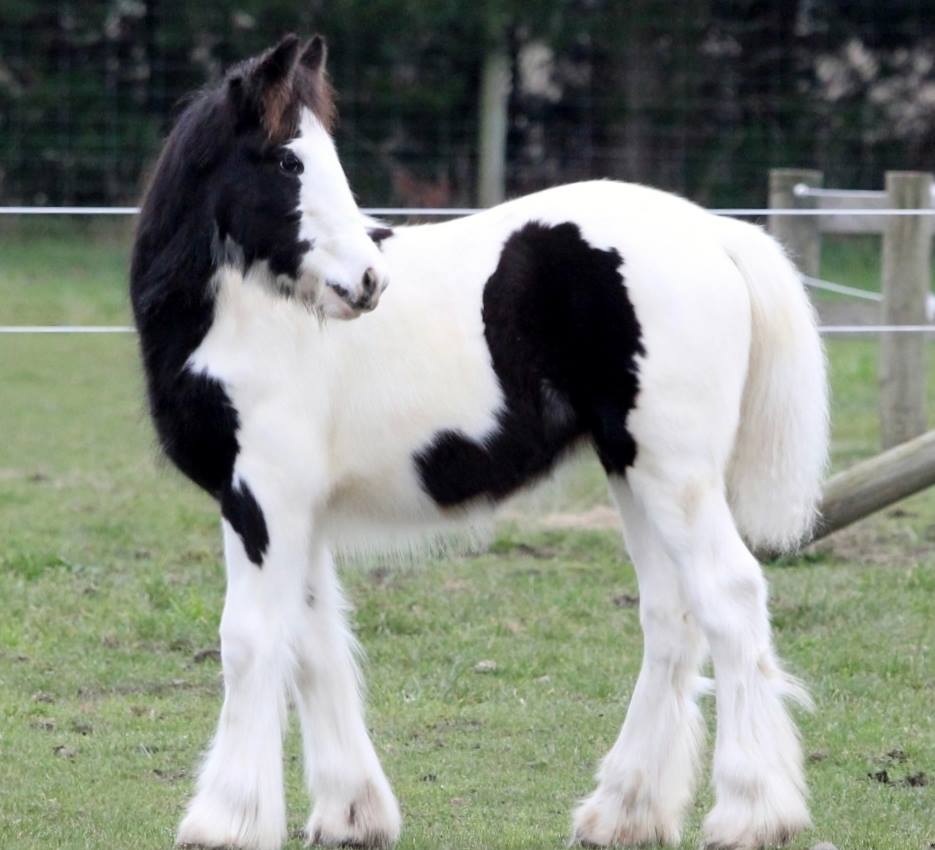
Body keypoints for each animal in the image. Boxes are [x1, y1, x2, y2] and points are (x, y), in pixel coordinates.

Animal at [130, 33, 828, 848]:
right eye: (287, 162)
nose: (368, 281)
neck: (244, 314)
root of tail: (716, 233)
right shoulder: (296, 509)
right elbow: (314, 643)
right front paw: (351, 813)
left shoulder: (261, 497)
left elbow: (248, 641)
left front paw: (226, 820)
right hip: (633, 472)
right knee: (670, 617)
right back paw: (623, 811)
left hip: (673, 472)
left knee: (730, 596)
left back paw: (753, 813)